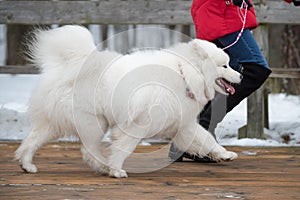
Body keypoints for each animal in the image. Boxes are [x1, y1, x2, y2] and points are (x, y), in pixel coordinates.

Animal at [15, 25, 243, 178]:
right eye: (225, 66)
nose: (241, 75)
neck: (184, 74)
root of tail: (75, 66)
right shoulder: (137, 125)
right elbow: (124, 147)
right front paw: (116, 169)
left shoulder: (183, 125)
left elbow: (206, 140)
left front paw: (225, 154)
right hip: (93, 122)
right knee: (88, 151)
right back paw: (105, 167)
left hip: (57, 123)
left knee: (34, 140)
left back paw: (27, 164)